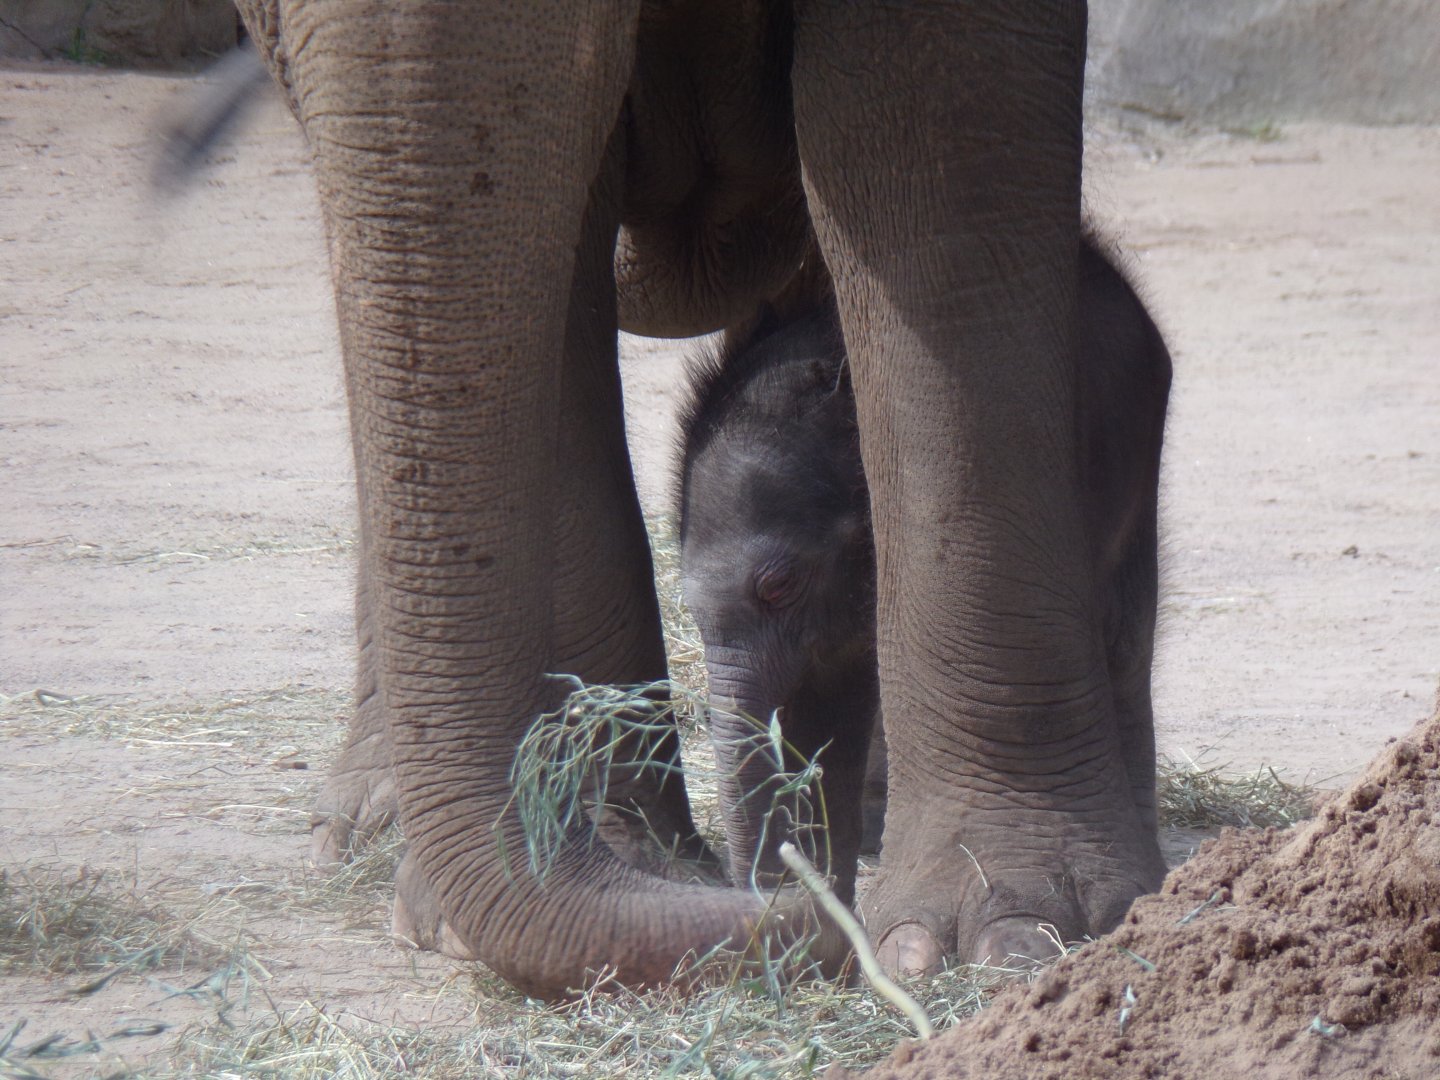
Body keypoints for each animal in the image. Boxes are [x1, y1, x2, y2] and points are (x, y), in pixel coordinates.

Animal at [677, 233, 1172, 916]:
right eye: (688, 604)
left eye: (778, 586)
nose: (771, 885)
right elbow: (826, 704)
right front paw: (821, 899)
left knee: (1123, 636)